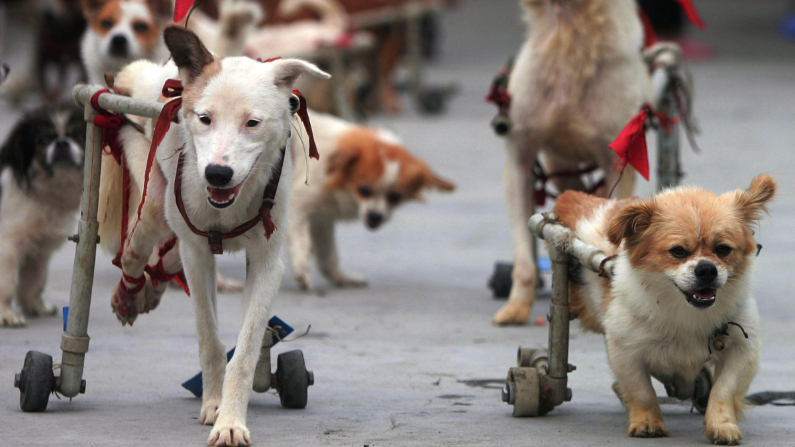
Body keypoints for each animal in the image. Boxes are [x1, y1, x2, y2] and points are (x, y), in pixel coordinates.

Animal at [100, 26, 330, 446]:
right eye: (205, 119)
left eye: (252, 123)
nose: (217, 174)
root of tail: (160, 74)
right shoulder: (198, 256)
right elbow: (210, 339)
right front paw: (213, 405)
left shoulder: (267, 264)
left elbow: (246, 350)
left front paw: (231, 421)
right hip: (155, 205)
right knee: (135, 251)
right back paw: (129, 295)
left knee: (164, 256)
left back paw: (150, 290)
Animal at [290, 111, 458, 290]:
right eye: (364, 190)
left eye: (395, 197)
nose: (375, 217)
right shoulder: (297, 207)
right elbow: (301, 242)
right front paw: (302, 271)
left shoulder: (321, 219)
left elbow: (328, 255)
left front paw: (340, 277)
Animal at [556, 174, 776, 444]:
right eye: (678, 251)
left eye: (723, 249)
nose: (706, 269)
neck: (685, 311)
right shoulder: (625, 351)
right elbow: (641, 391)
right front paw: (647, 422)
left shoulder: (742, 348)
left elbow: (723, 390)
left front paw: (722, 425)